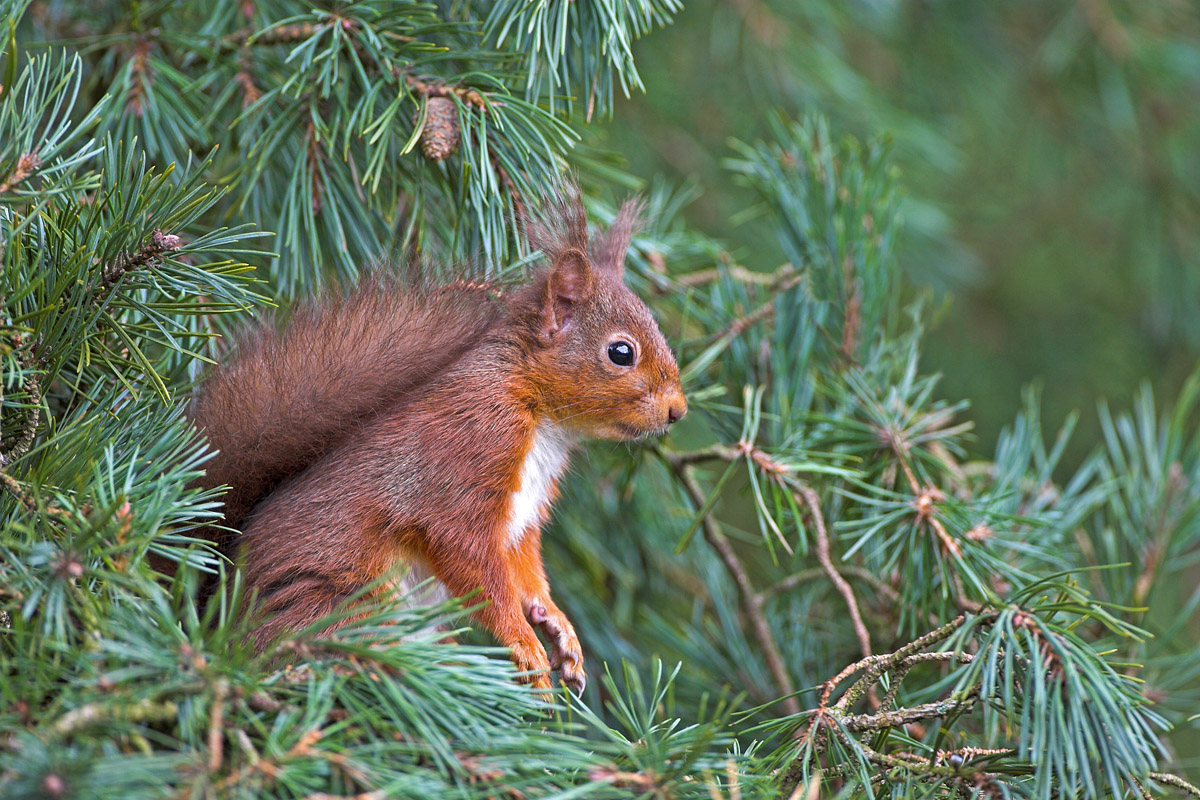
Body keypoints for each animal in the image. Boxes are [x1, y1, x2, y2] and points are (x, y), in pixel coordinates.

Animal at [187, 188, 686, 693]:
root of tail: (216, 618)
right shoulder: (466, 453)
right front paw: (524, 643)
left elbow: (527, 574)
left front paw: (559, 627)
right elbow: (474, 566)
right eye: (621, 352)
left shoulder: (521, 524)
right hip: (338, 602)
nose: (678, 411)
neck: (545, 422)